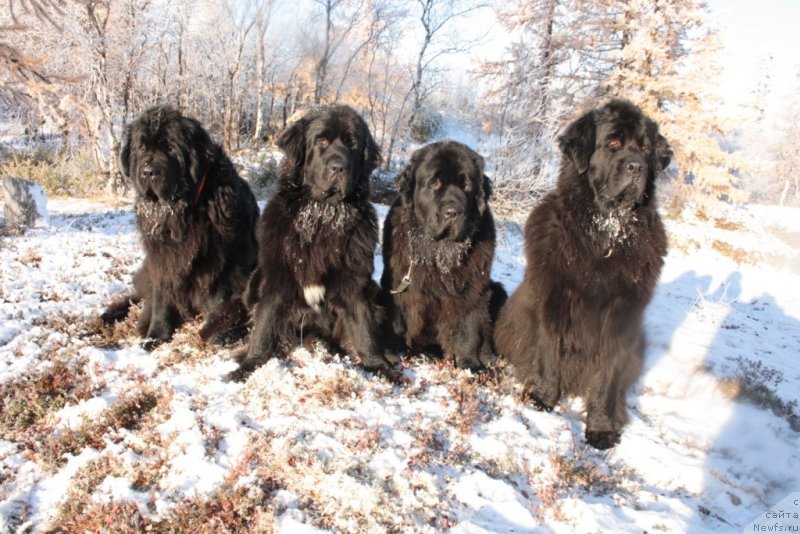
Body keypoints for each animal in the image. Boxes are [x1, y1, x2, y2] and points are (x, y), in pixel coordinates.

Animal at [100, 108, 256, 352]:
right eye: (141, 148)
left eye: (170, 149)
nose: (148, 172)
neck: (182, 210)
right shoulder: (162, 259)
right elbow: (161, 299)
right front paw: (155, 336)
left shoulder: (225, 261)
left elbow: (221, 298)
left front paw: (217, 330)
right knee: (140, 293)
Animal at [228, 105, 390, 382]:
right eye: (321, 141)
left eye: (353, 145)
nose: (338, 167)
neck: (322, 216)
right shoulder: (277, 280)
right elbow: (264, 326)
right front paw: (249, 365)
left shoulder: (354, 282)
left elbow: (364, 328)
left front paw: (379, 366)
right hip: (255, 281)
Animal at [382, 140, 506, 370]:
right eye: (435, 184)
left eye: (466, 186)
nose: (452, 212)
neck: (438, 253)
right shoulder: (398, 287)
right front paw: (396, 351)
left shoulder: (474, 290)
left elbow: (469, 329)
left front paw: (471, 364)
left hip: (498, 290)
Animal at [496, 98, 672, 450]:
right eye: (614, 143)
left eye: (645, 148)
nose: (637, 167)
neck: (605, 235)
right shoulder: (554, 298)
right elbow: (549, 350)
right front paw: (541, 398)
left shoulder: (621, 316)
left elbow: (607, 376)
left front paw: (602, 427)